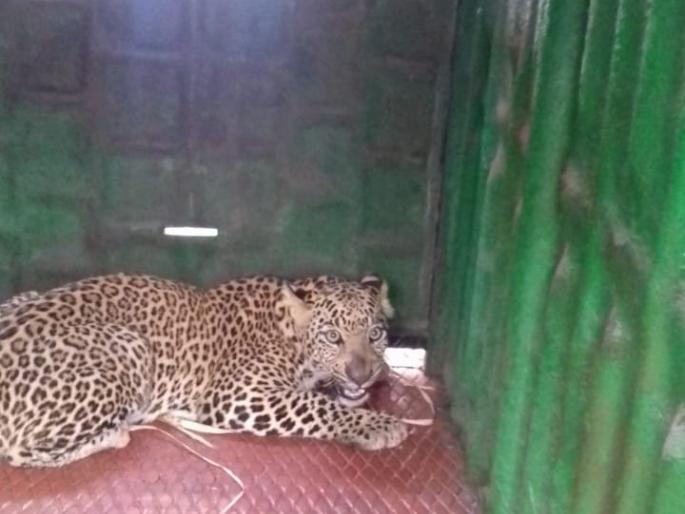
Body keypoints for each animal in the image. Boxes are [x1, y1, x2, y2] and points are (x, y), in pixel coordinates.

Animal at [0, 272, 408, 468]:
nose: (362, 376)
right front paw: (381, 425)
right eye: (332, 336)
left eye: (375, 334)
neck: (289, 331)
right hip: (129, 344)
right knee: (19, 452)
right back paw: (119, 433)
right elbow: (315, 406)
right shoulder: (239, 394)